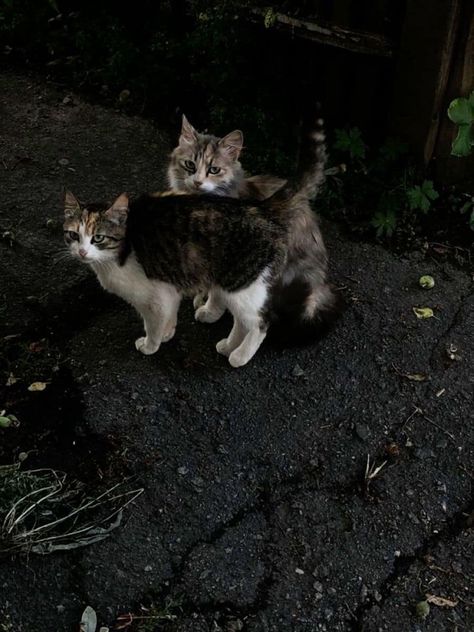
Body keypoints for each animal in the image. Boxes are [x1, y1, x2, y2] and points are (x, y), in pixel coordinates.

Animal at [64, 118, 336, 368]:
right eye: (73, 235)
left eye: (98, 237)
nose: (82, 252)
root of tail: (262, 209)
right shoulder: (168, 290)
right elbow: (169, 315)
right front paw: (168, 333)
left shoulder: (153, 296)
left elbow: (152, 324)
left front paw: (150, 345)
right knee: (242, 320)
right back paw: (228, 346)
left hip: (242, 285)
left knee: (260, 322)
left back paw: (240, 356)